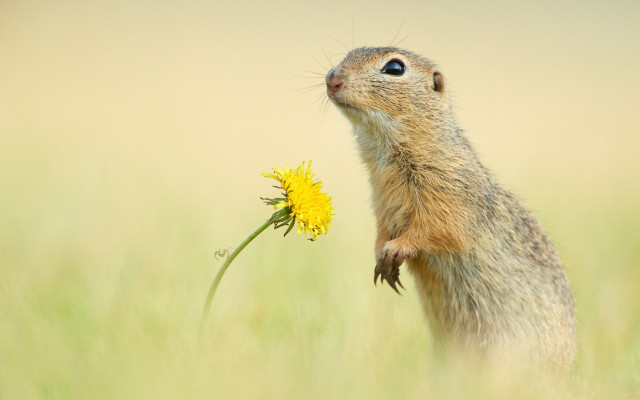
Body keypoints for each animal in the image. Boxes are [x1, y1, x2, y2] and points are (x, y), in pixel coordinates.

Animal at [325, 47, 576, 376]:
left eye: (394, 68)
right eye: (348, 54)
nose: (332, 78)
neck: (388, 156)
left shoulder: (451, 197)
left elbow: (438, 230)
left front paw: (396, 250)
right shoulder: (382, 204)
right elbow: (382, 230)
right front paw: (381, 253)